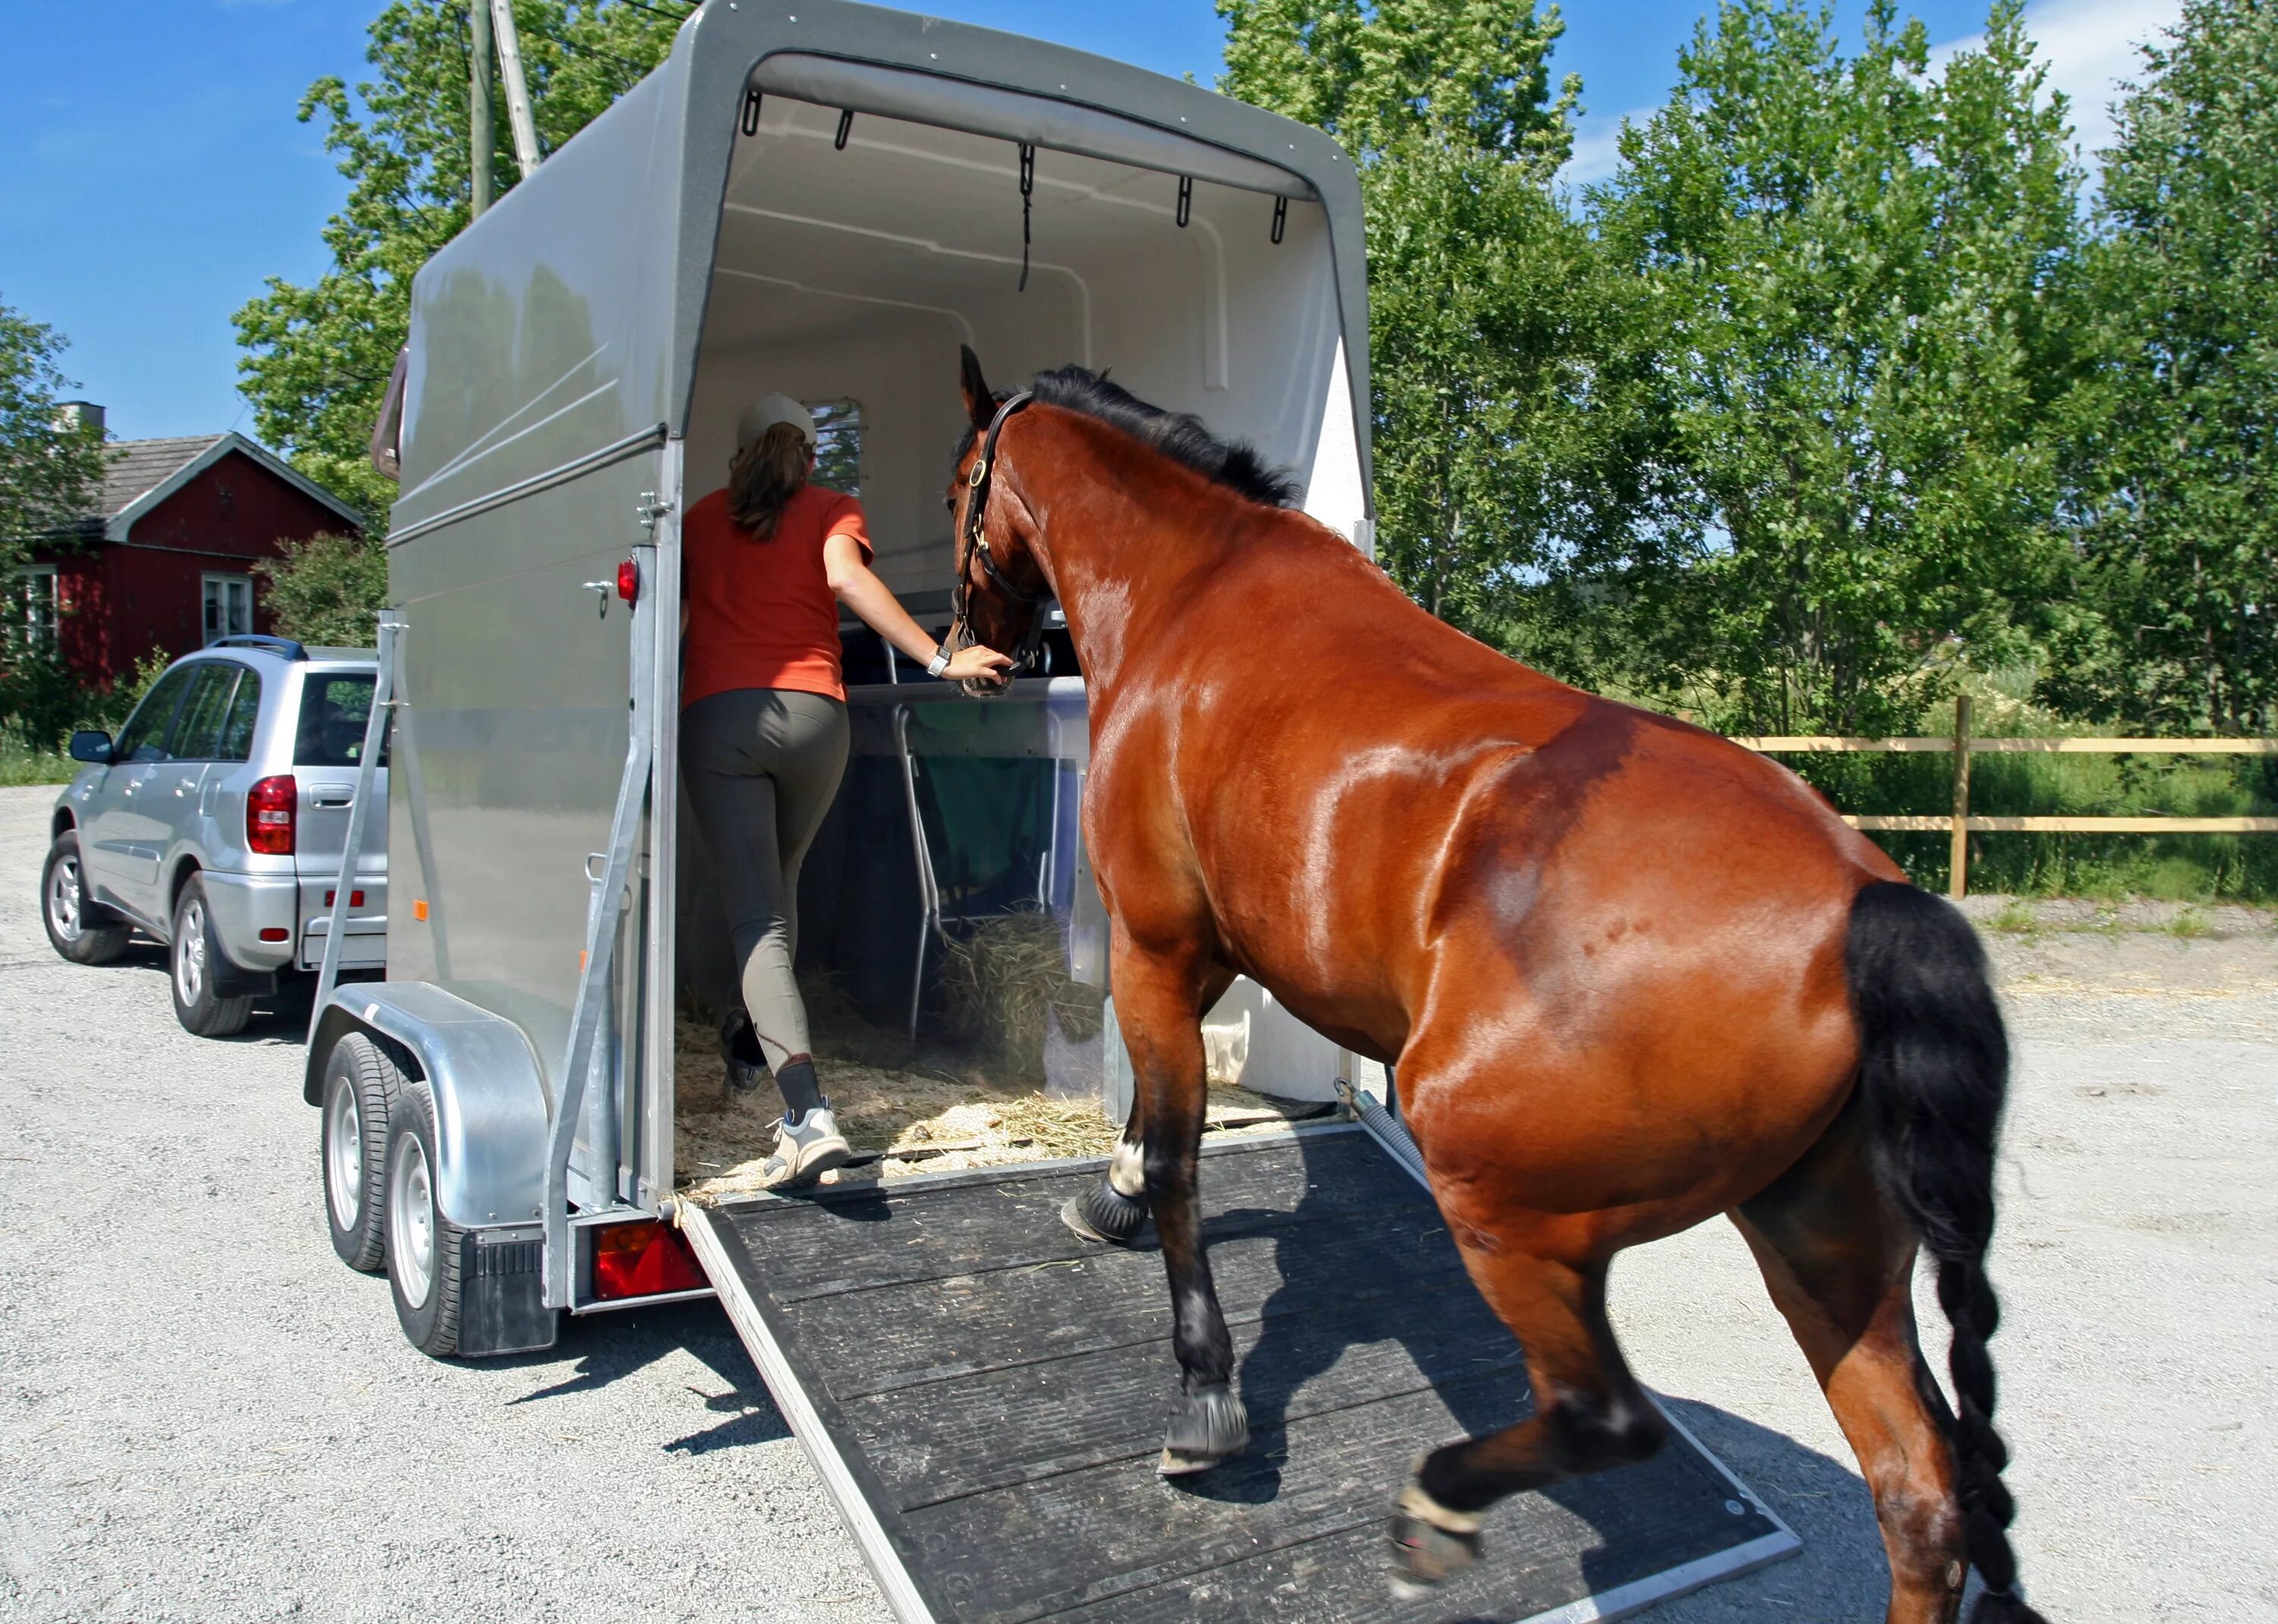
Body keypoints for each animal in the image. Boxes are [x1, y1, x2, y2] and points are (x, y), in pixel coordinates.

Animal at [943, 346, 2050, 1622]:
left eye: (960, 483)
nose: (967, 648)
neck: (1196, 593)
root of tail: (1871, 900)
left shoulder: (1157, 944)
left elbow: (1178, 1154)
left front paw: (1205, 1393)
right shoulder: (1205, 949)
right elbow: (1153, 1136)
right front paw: (1111, 1195)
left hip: (1508, 1205)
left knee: (1606, 1417)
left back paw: (1439, 1503)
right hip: (1828, 1253)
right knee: (1922, 1495)